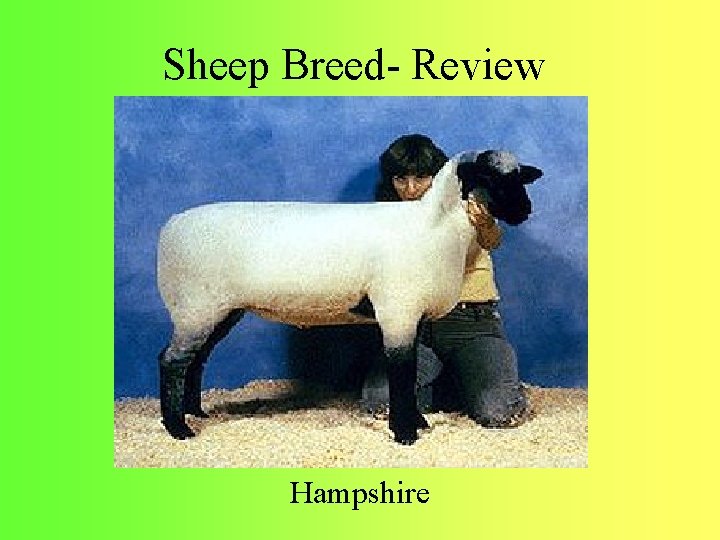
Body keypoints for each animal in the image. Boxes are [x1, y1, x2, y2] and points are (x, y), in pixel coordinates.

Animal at [156, 149, 542, 445]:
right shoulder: (397, 310)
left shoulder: (412, 314)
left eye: (519, 178)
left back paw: (194, 412)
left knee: (196, 359)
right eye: (489, 177)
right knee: (172, 361)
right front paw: (405, 433)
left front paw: (417, 422)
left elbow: (411, 370)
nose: (525, 211)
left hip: (220, 310)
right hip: (195, 307)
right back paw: (179, 429)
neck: (435, 227)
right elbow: (401, 372)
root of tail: (170, 226)